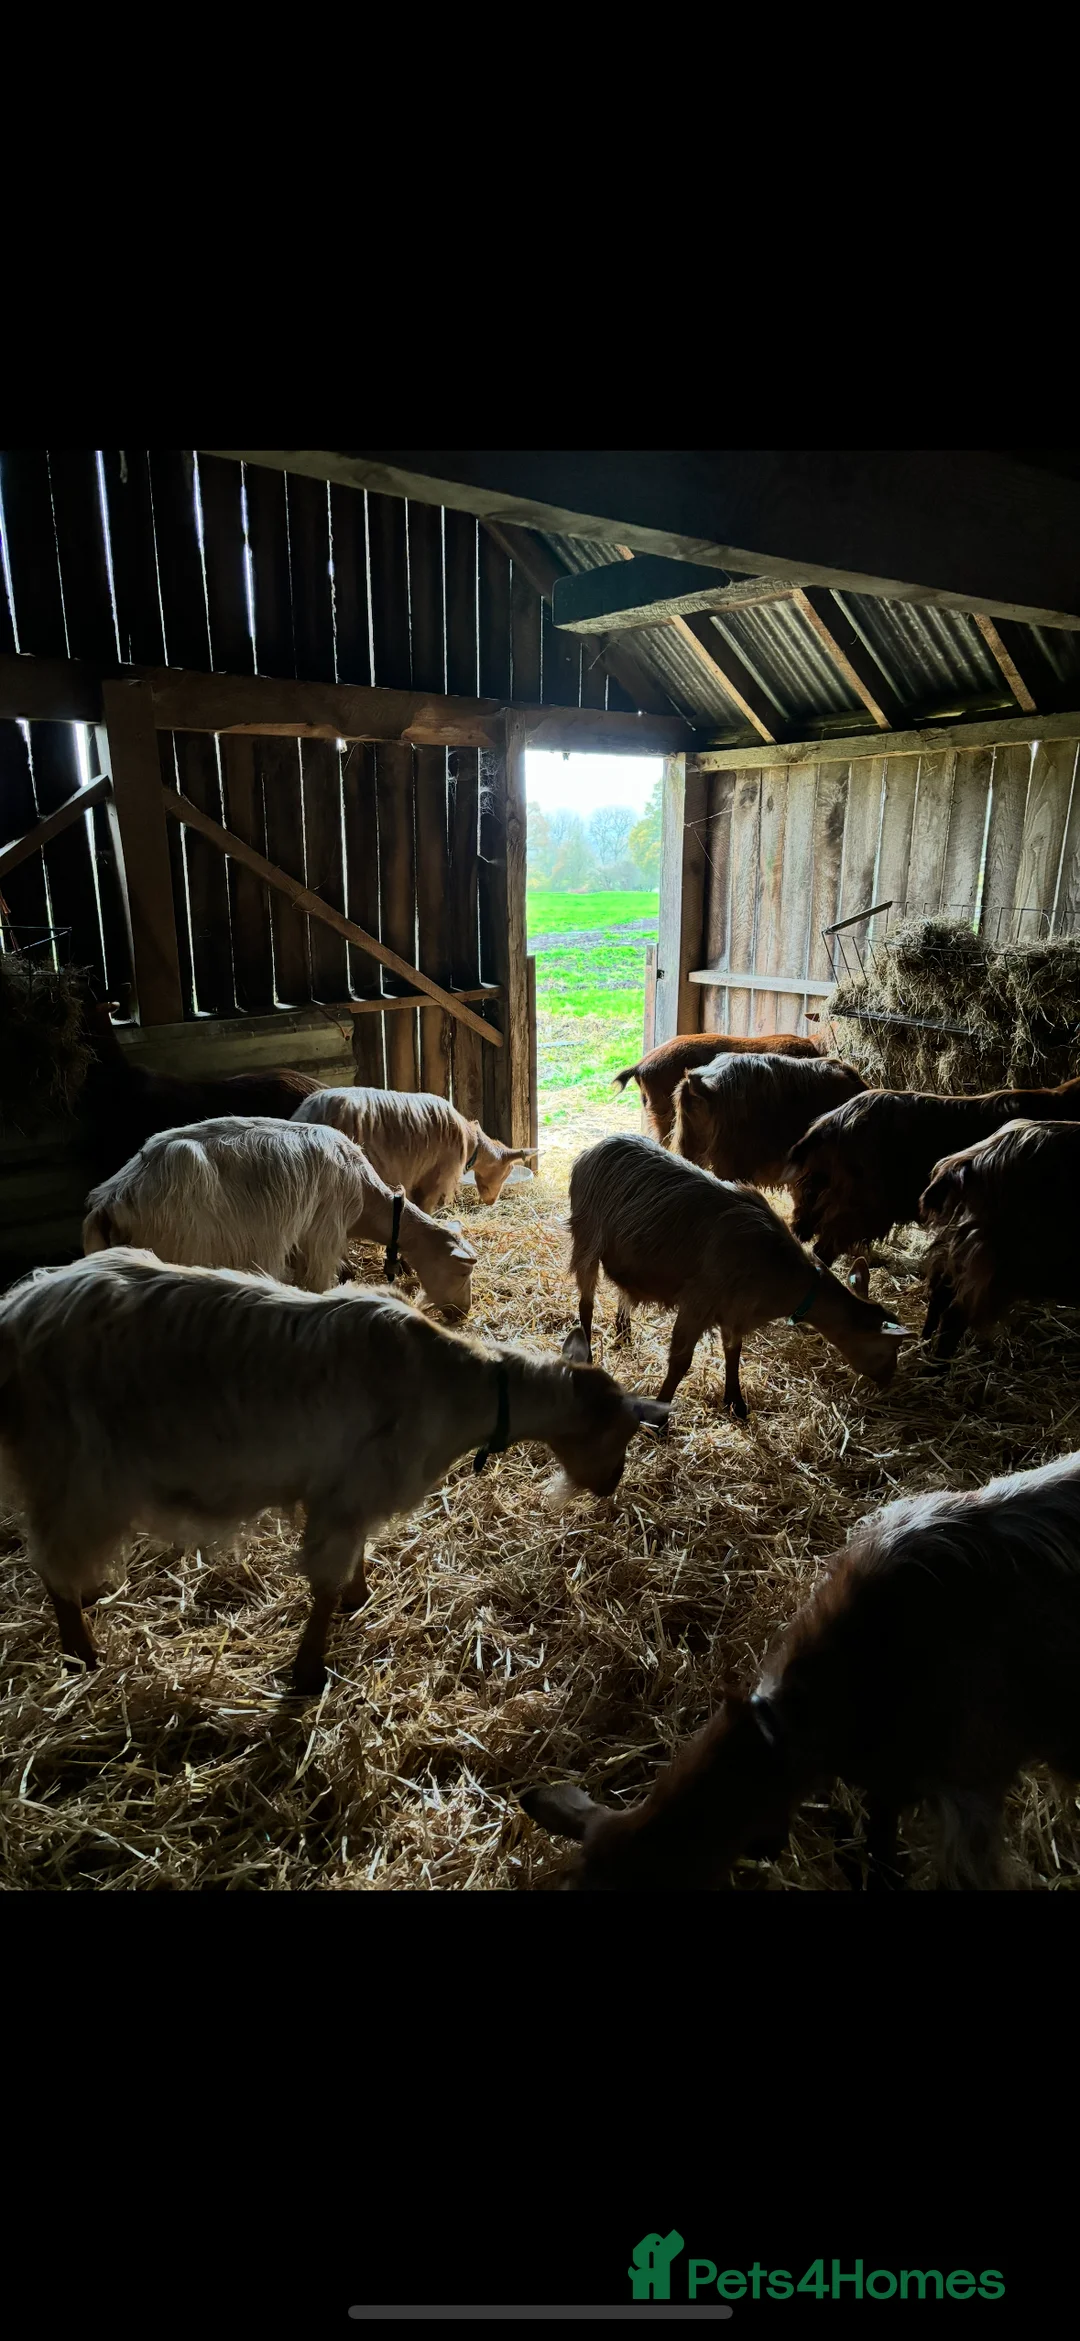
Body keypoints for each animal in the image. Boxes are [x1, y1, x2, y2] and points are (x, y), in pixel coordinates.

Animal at [0, 1248, 669, 1690]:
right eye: (620, 1432)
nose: (610, 1484)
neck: (455, 1389)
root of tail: (16, 1311)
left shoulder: (353, 1495)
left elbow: (356, 1556)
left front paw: (360, 1594)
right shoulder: (345, 1494)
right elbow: (323, 1582)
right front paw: (309, 1667)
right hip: (74, 1468)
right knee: (52, 1563)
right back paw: (81, 1653)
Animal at [82, 1116, 478, 1314]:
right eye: (462, 1270)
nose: (463, 1313)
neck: (368, 1201)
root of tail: (111, 1199)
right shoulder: (322, 1236)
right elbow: (319, 1283)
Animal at [562, 1134, 911, 1415]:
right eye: (887, 1348)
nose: (887, 1381)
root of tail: (591, 1150)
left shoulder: (736, 1311)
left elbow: (733, 1353)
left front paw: (736, 1402)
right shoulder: (698, 1301)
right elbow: (680, 1362)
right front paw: (660, 1415)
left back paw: (624, 1332)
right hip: (587, 1237)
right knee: (586, 1303)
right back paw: (587, 1352)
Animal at [920, 1117, 1080, 1356]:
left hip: (958, 1246)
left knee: (939, 1295)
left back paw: (924, 1347)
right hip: (997, 1263)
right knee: (954, 1315)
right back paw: (939, 1361)